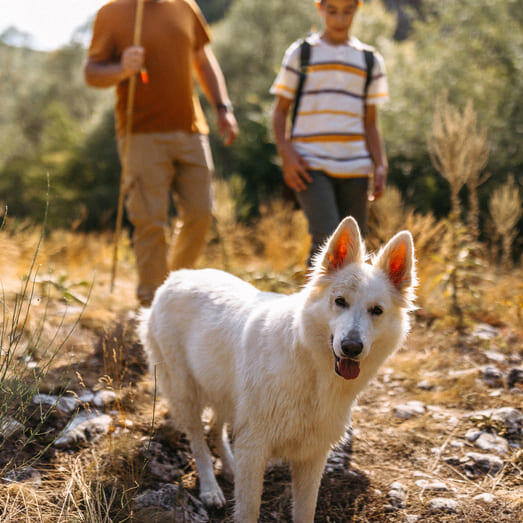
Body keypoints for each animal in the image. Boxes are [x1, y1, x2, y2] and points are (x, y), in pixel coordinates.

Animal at [139, 217, 418, 523]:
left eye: (376, 310)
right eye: (340, 301)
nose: (351, 347)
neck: (310, 367)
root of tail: (177, 276)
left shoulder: (311, 455)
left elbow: (305, 511)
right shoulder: (255, 447)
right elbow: (248, 510)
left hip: (226, 395)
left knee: (215, 431)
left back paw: (230, 469)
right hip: (186, 393)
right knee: (199, 442)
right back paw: (211, 489)